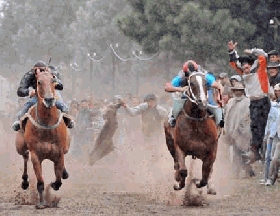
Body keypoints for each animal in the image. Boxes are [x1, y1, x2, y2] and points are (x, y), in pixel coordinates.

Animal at [15, 69, 71, 208]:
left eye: (53, 79)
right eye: (39, 82)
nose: (50, 99)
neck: (47, 126)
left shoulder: (59, 153)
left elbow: (58, 181)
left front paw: (54, 184)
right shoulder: (36, 155)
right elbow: (40, 181)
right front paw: (41, 203)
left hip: (66, 146)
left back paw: (64, 173)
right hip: (20, 146)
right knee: (25, 156)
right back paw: (25, 182)